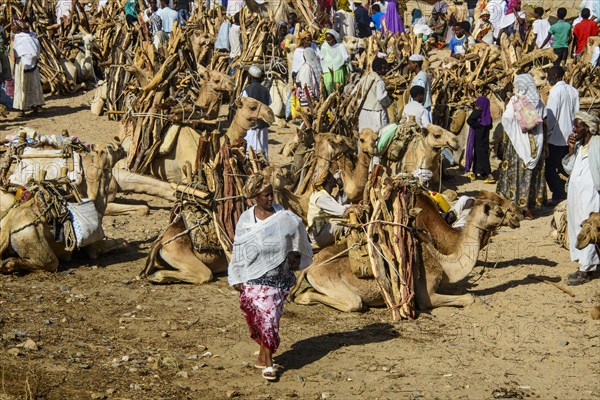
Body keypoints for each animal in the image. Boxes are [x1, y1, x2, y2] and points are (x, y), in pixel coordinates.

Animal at [0, 142, 127, 274]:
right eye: (111, 147)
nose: (123, 149)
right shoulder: (94, 247)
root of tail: (8, 228)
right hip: (35, 241)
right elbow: (123, 242)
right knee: (49, 263)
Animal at [292, 198, 508, 310]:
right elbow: (467, 298)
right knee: (353, 303)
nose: (513, 215)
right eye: (498, 212)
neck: (445, 265)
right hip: (331, 282)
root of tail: (311, 266)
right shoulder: (425, 293)